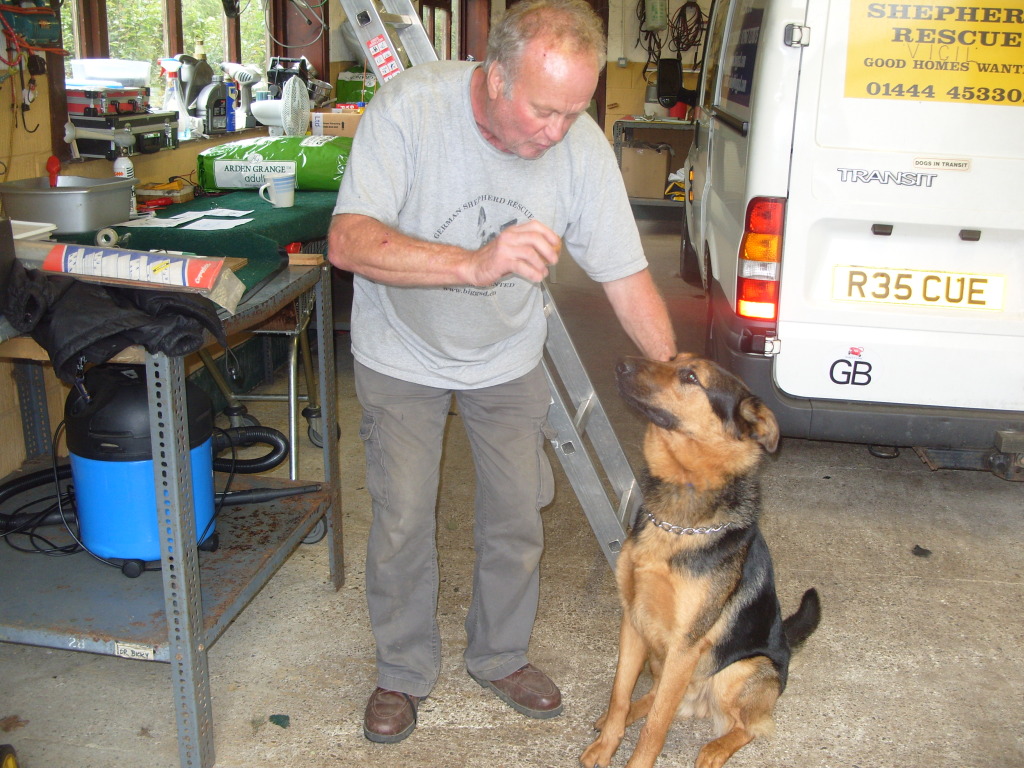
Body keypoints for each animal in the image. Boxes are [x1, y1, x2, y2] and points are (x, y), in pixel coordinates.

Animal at [581, 354, 819, 768]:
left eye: (691, 377)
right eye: (671, 359)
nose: (621, 363)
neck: (679, 520)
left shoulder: (685, 646)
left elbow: (656, 727)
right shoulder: (633, 622)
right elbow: (619, 695)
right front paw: (607, 743)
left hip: (738, 670)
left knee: (747, 726)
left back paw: (714, 749)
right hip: (661, 660)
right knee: (655, 697)